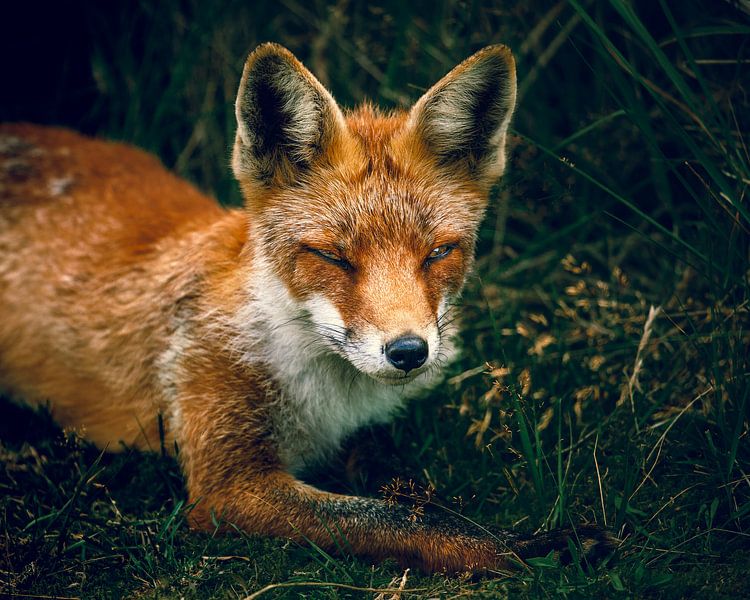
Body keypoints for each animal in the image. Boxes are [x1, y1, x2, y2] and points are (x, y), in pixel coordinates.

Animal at [0, 43, 616, 572]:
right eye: (333, 257)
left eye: (439, 253)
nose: (409, 352)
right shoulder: (228, 482)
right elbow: (402, 518)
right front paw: (524, 548)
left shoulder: (358, 434)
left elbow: (406, 496)